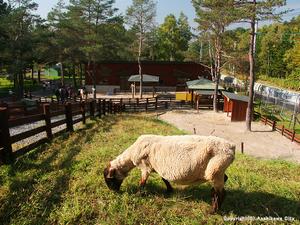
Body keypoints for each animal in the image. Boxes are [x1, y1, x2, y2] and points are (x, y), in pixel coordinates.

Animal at [104, 135, 236, 213]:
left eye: (110, 179)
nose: (113, 192)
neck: (131, 155)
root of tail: (231, 147)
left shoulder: (145, 167)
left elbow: (142, 183)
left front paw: (138, 195)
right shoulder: (158, 167)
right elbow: (164, 179)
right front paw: (169, 190)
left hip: (215, 169)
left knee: (221, 192)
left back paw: (214, 211)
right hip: (218, 170)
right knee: (222, 183)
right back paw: (215, 204)